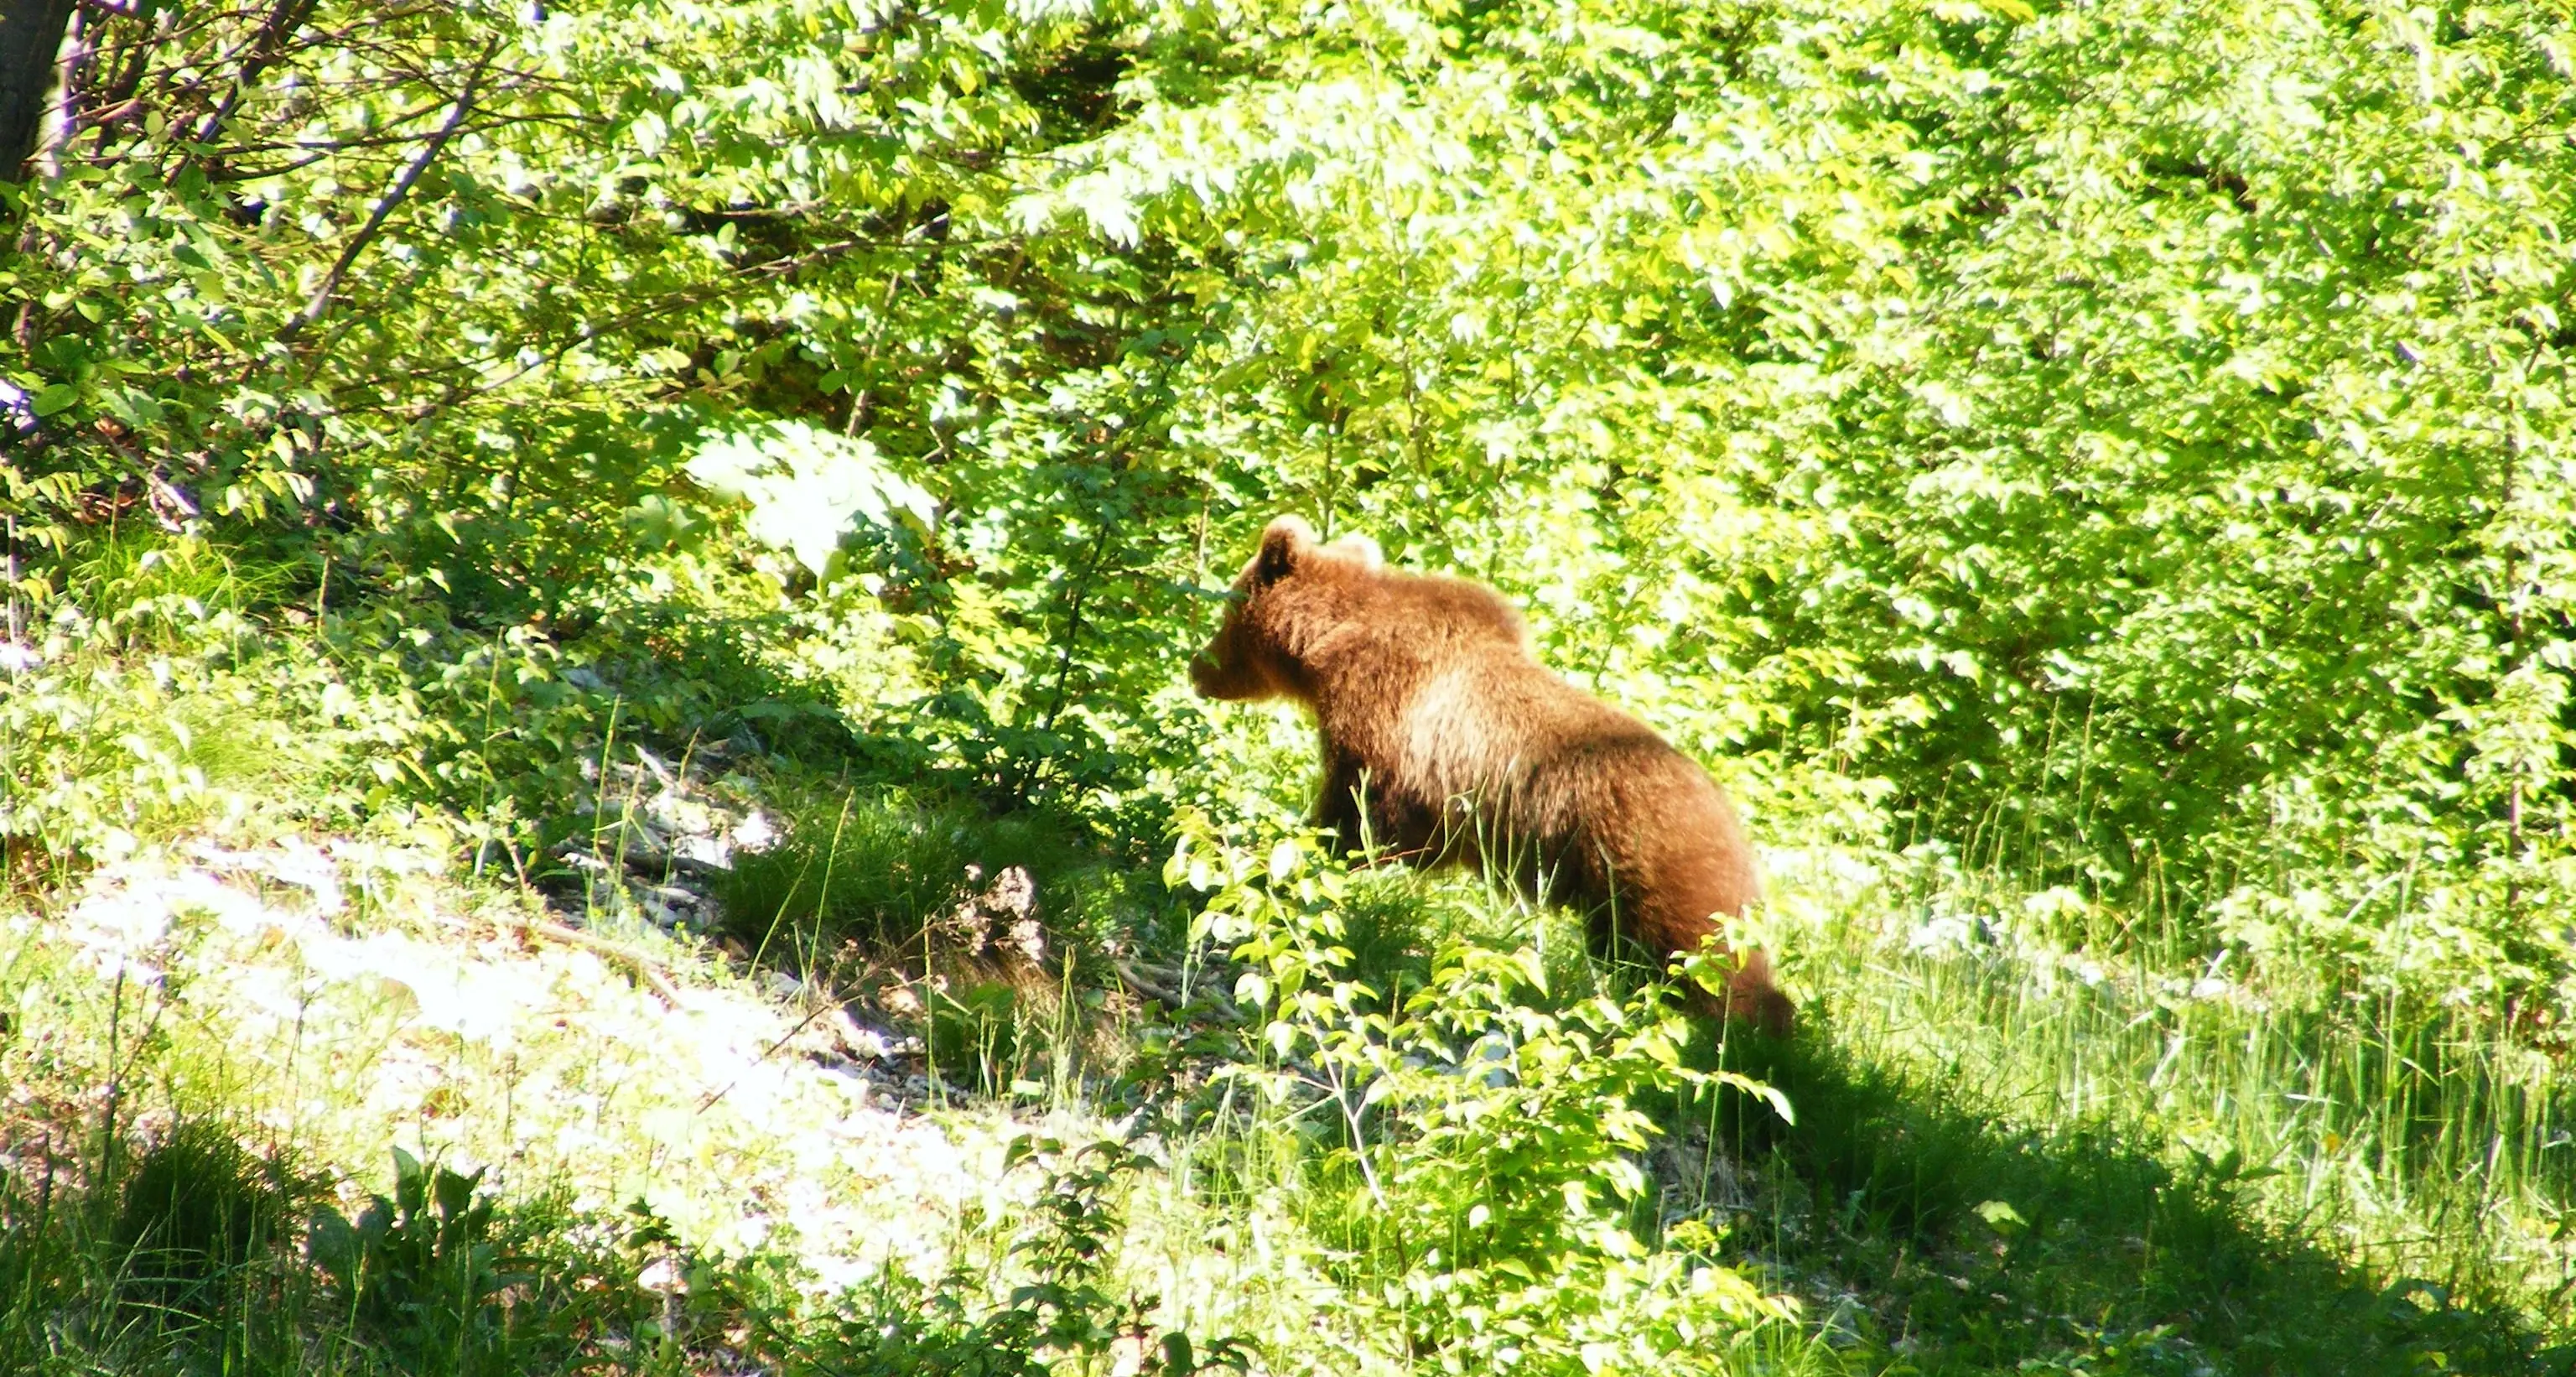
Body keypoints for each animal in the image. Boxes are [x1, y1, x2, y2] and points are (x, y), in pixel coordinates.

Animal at [1191, 514, 1793, 1035]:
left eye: (1226, 609)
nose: (1197, 668)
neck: (1328, 646)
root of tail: (1735, 822)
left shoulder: (1385, 723)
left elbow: (1355, 818)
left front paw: (1276, 857)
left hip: (1655, 864)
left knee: (1703, 961)